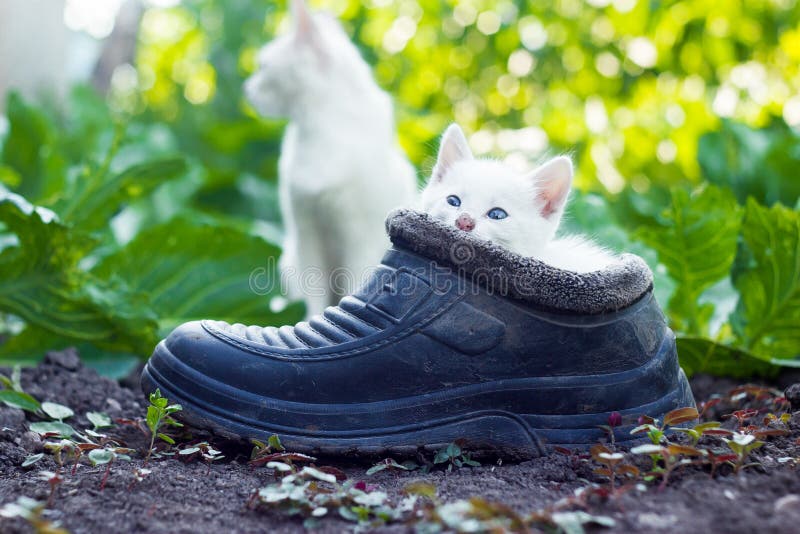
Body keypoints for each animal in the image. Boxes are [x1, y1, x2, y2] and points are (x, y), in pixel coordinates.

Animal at [245, 1, 416, 318]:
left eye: (263, 66)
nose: (246, 89)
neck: (319, 129)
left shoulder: (358, 237)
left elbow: (353, 288)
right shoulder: (306, 231)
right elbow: (313, 293)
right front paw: (309, 322)